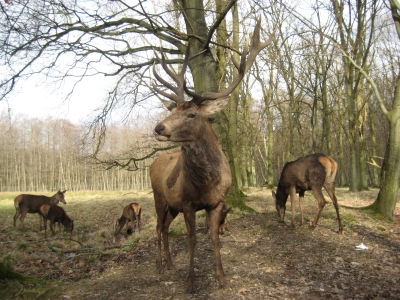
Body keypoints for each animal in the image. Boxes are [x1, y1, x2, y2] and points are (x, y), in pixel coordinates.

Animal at [150, 18, 276, 292]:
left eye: (191, 114)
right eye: (173, 110)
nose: (159, 128)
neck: (206, 184)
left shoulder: (217, 201)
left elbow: (215, 237)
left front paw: (221, 277)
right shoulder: (187, 202)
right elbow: (192, 239)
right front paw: (190, 281)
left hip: (171, 205)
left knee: (165, 227)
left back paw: (169, 262)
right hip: (158, 197)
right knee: (157, 227)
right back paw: (159, 264)